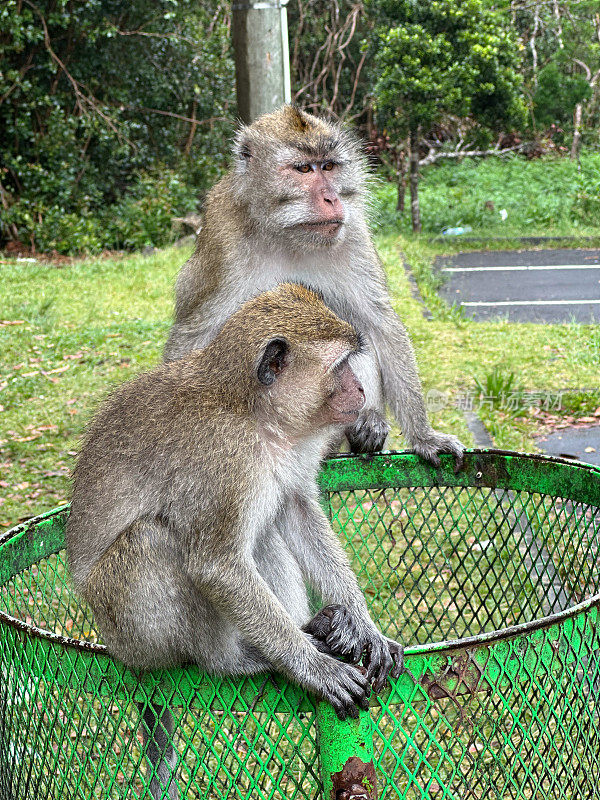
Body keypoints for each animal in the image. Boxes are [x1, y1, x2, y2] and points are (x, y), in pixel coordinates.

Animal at [65, 284, 404, 800]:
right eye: (340, 365)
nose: (361, 391)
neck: (253, 413)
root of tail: (115, 648)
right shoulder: (224, 461)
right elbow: (215, 565)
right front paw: (309, 666)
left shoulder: (290, 448)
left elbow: (297, 512)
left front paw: (364, 627)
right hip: (130, 634)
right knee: (154, 540)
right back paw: (235, 660)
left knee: (263, 533)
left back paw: (322, 625)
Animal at [163, 105, 464, 466]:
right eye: (304, 169)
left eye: (329, 166)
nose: (331, 198)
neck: (287, 236)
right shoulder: (225, 246)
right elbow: (195, 334)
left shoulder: (352, 233)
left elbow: (379, 325)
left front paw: (424, 437)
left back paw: (367, 424)